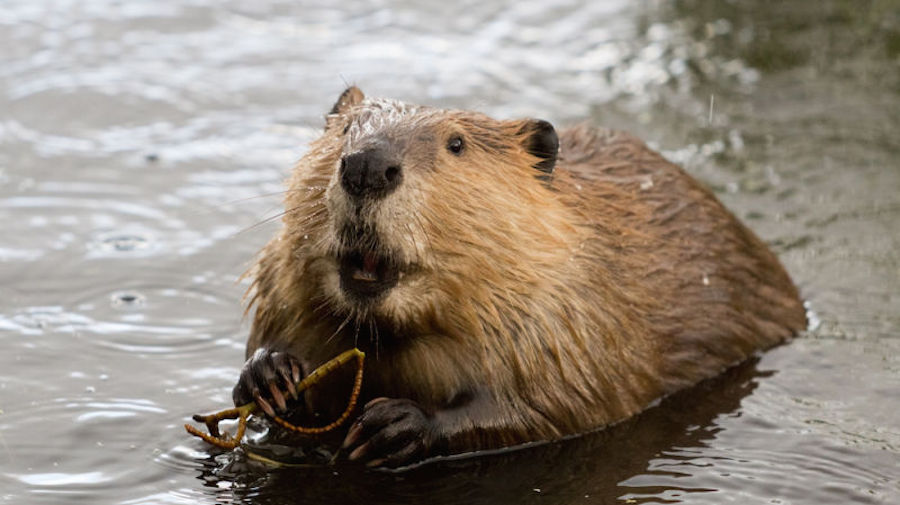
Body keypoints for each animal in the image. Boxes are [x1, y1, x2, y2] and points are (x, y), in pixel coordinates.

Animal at [232, 87, 808, 468]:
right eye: (347, 130)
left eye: (457, 144)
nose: (368, 166)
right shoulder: (280, 286)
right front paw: (270, 375)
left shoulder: (571, 314)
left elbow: (561, 405)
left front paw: (394, 425)